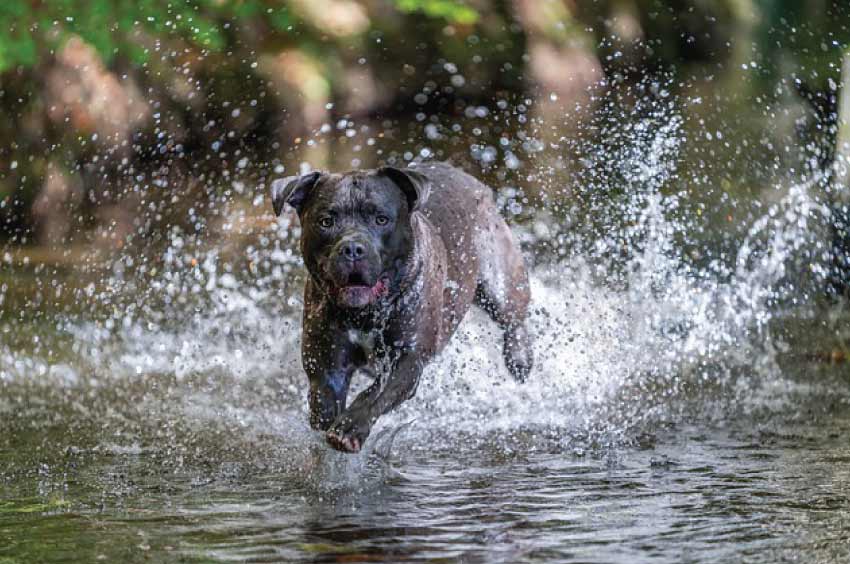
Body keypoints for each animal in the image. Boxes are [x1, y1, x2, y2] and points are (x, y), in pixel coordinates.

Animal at [272, 161, 528, 452]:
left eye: (381, 219)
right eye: (326, 221)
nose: (352, 248)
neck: (366, 314)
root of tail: (471, 180)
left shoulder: (407, 360)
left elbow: (373, 395)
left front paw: (349, 428)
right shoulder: (327, 362)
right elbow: (326, 399)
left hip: (500, 281)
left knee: (514, 318)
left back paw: (520, 358)